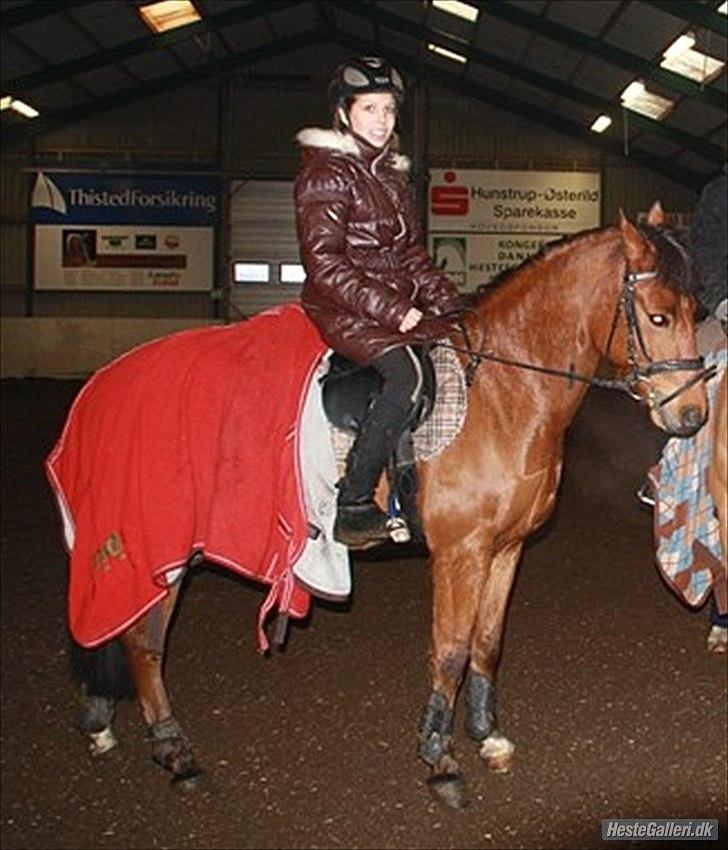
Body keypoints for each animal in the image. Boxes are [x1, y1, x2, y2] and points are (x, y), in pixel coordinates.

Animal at [53, 202, 710, 803]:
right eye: (657, 315)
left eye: (696, 313)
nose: (692, 415)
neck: (503, 395)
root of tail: (106, 384)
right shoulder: (461, 553)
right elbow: (450, 650)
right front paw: (440, 760)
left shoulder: (505, 549)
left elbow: (487, 644)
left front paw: (487, 736)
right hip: (158, 545)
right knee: (143, 641)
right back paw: (175, 752)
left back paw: (106, 722)